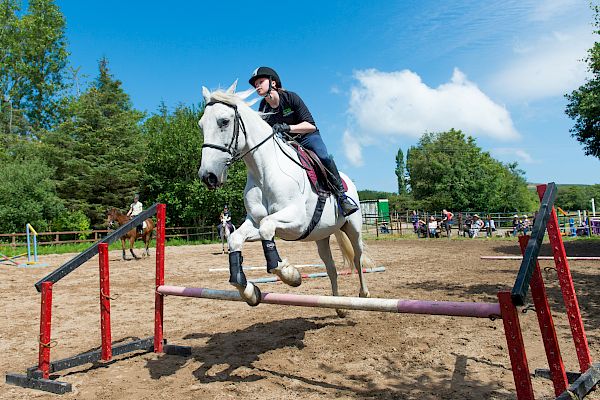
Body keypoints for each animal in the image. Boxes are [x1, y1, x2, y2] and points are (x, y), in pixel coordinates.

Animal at [199, 81, 372, 316]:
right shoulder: (254, 221)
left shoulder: (297, 220)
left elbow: (266, 228)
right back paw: (339, 306)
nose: (207, 176)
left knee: (357, 256)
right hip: (321, 236)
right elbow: (238, 238)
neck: (263, 170)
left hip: (353, 228)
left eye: (224, 121)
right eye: (201, 125)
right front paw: (249, 291)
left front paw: (290, 274)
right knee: (331, 268)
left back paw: (363, 294)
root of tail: (349, 181)